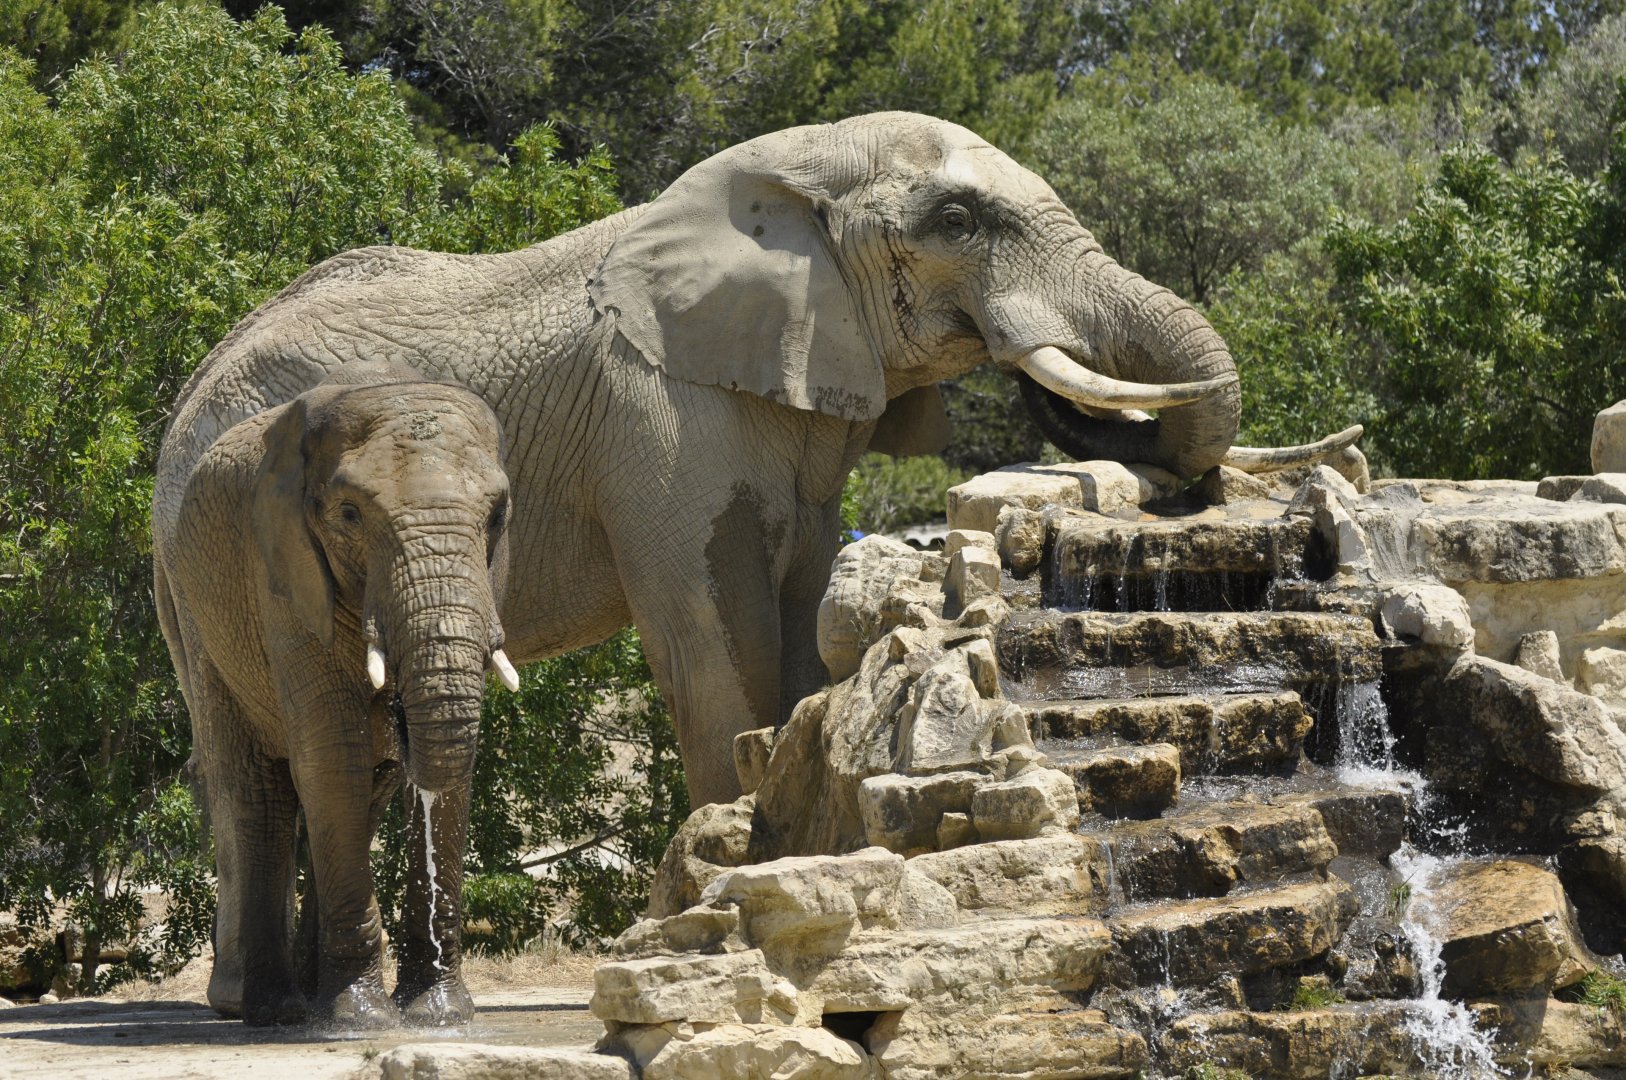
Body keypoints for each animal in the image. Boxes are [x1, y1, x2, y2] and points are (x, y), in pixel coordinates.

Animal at [155, 110, 1353, 830]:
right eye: (957, 221)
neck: (790, 173)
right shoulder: (656, 423)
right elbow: (715, 641)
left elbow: (798, 616)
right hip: (201, 538)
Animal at [156, 359, 517, 1026]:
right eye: (350, 515)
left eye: (497, 516)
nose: (397, 709)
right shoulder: (281, 571)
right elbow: (332, 755)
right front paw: (358, 1021)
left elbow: (441, 765)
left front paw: (439, 1016)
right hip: (197, 614)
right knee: (253, 786)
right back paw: (274, 1009)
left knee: (365, 787)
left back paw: (306, 995)